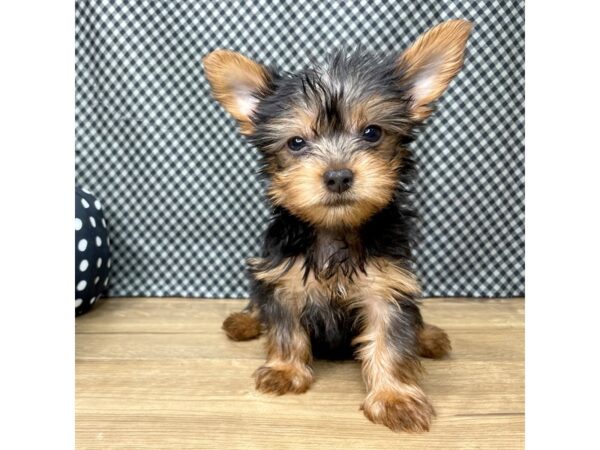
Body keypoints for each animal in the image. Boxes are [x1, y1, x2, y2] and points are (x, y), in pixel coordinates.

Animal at [204, 18, 472, 432]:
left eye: (372, 132)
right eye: (296, 143)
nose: (338, 176)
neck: (336, 230)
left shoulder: (387, 286)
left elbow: (390, 340)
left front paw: (394, 397)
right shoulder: (284, 279)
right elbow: (285, 328)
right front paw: (285, 370)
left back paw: (427, 337)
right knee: (259, 302)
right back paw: (245, 321)